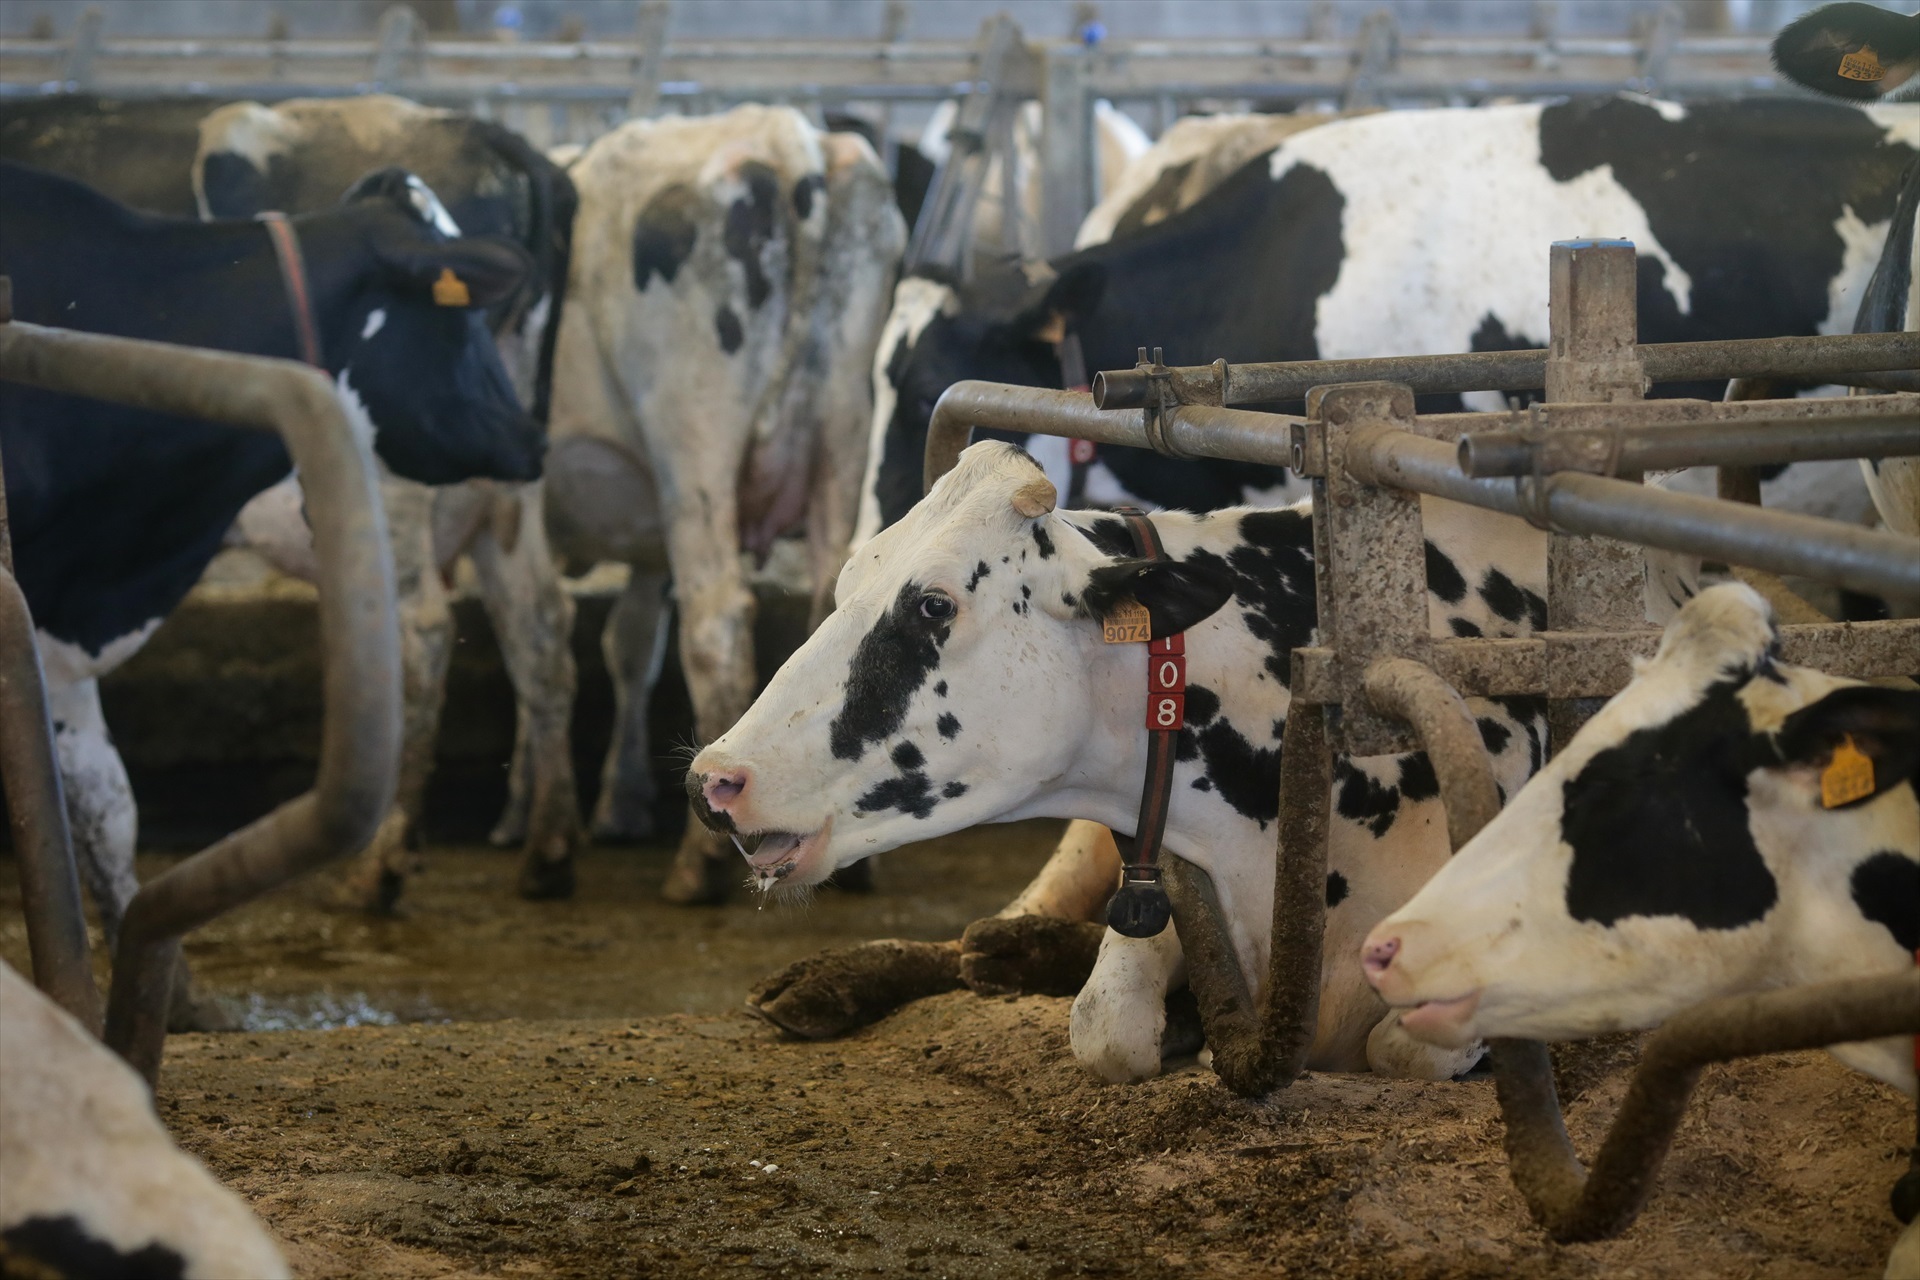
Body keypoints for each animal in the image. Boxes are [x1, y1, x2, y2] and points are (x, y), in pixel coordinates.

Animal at [0, 93, 583, 909]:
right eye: (462, 316)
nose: (531, 438)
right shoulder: (52, 614)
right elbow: (99, 805)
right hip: (498, 511)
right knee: (539, 627)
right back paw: (547, 854)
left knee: (424, 631)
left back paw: (382, 868)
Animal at [513, 104, 907, 902]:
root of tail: (785, 136)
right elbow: (629, 645)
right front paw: (615, 803)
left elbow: (537, 640)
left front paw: (544, 839)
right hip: (842, 429)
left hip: (691, 448)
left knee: (716, 621)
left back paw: (699, 864)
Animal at [688, 441, 1578, 1082]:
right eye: (846, 583)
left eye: (935, 604)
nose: (713, 779)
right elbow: (1105, 1025)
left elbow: (1407, 1045)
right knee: (985, 930)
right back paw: (848, 976)